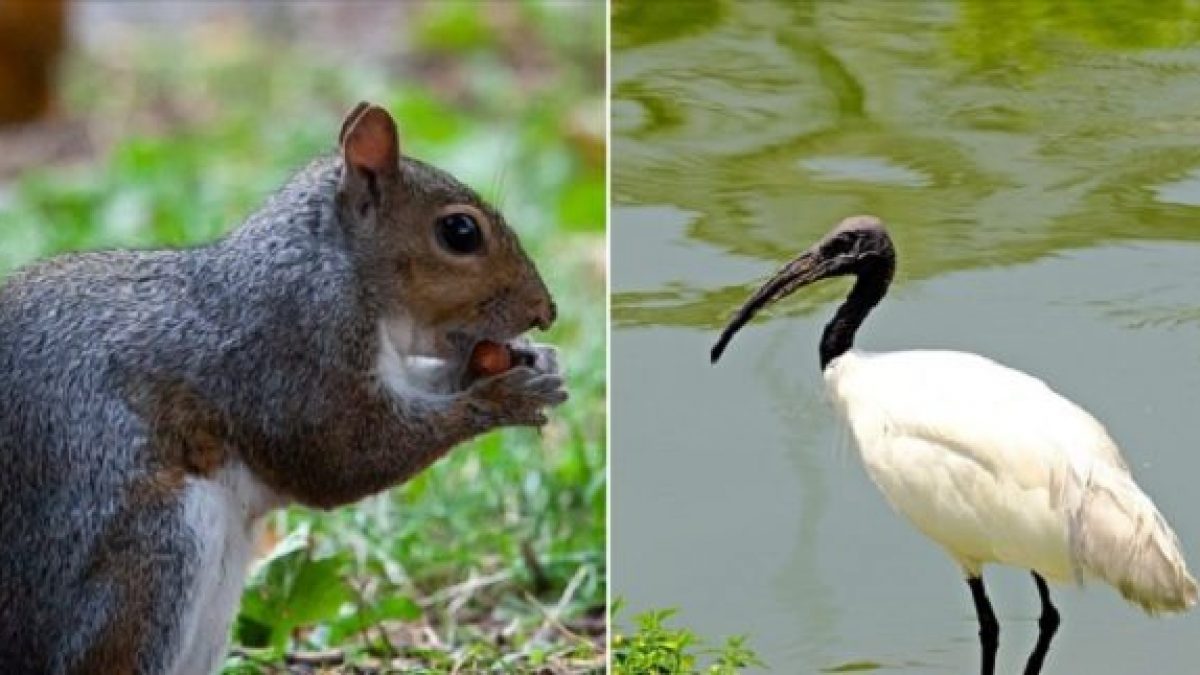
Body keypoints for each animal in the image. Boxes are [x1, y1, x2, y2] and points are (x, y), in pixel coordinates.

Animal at [0, 101, 568, 675]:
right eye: (460, 232)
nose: (546, 312)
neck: (337, 268)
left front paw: (530, 363)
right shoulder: (291, 350)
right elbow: (342, 456)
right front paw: (501, 399)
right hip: (153, 554)